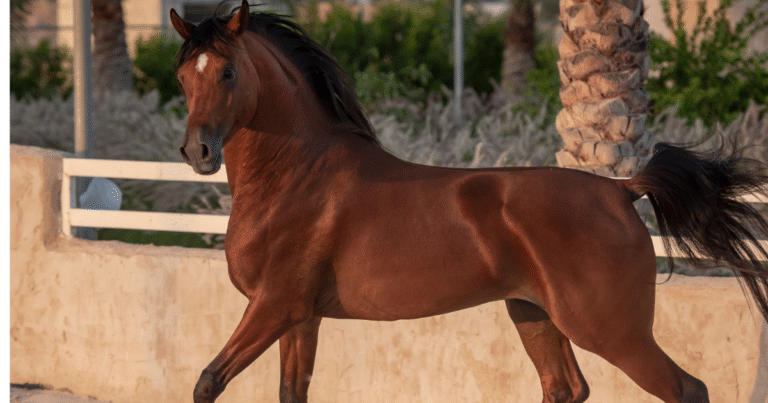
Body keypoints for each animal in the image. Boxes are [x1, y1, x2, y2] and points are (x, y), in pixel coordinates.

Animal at [170, 2, 768, 402]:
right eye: (181, 76)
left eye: (228, 71)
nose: (198, 152)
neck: (297, 177)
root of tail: (620, 190)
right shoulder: (300, 318)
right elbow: (289, 393)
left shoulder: (273, 306)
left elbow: (206, 381)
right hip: (534, 315)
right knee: (566, 387)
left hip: (610, 329)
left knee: (687, 389)